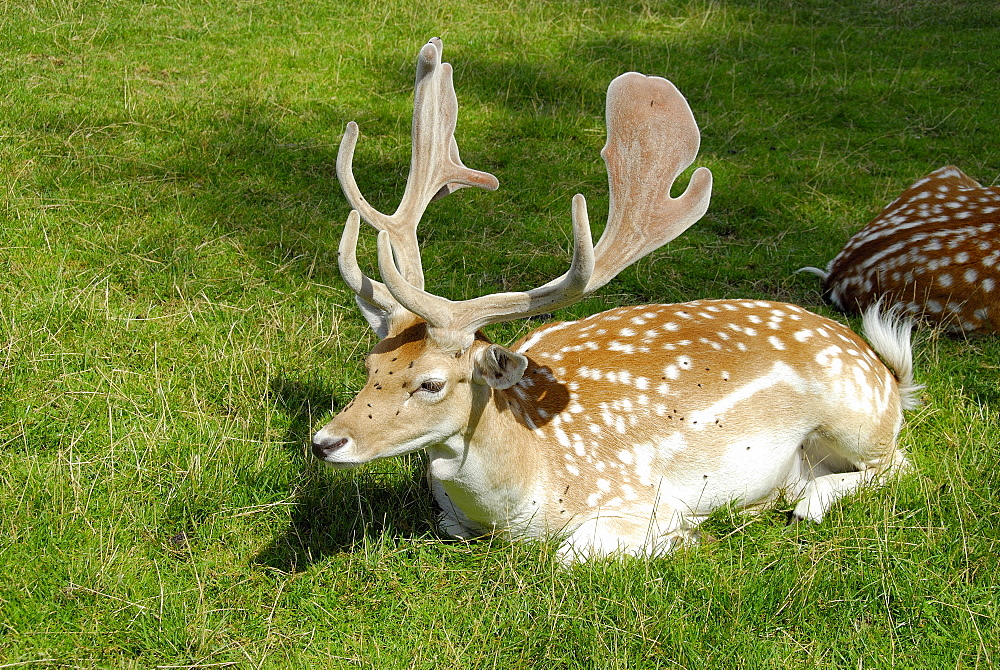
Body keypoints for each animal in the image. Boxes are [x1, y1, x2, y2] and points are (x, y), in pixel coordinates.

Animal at [312, 39, 920, 564]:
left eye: (432, 383)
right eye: (370, 367)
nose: (324, 441)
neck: (522, 495)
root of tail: (889, 373)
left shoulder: (635, 492)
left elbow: (571, 553)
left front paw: (685, 536)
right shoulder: (453, 516)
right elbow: (447, 524)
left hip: (856, 415)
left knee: (898, 463)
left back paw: (805, 498)